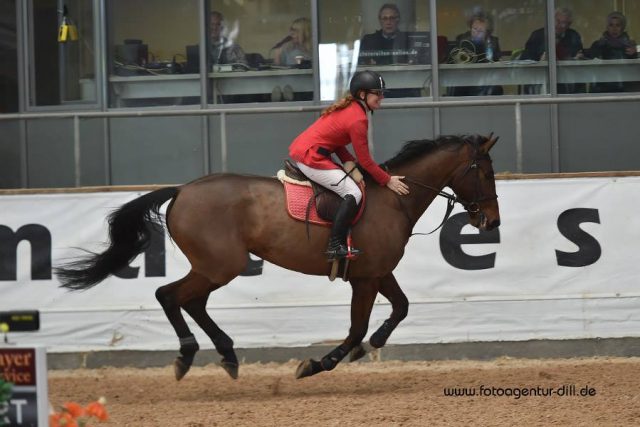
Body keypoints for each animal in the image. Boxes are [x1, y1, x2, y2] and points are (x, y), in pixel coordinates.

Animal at [56, 135, 500, 382]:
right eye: (484, 172)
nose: (491, 221)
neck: (394, 199)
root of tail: (182, 190)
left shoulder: (377, 272)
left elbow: (401, 308)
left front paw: (371, 345)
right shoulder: (366, 279)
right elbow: (356, 328)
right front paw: (319, 364)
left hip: (214, 267)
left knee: (191, 302)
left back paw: (227, 355)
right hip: (221, 265)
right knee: (170, 296)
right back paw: (187, 355)